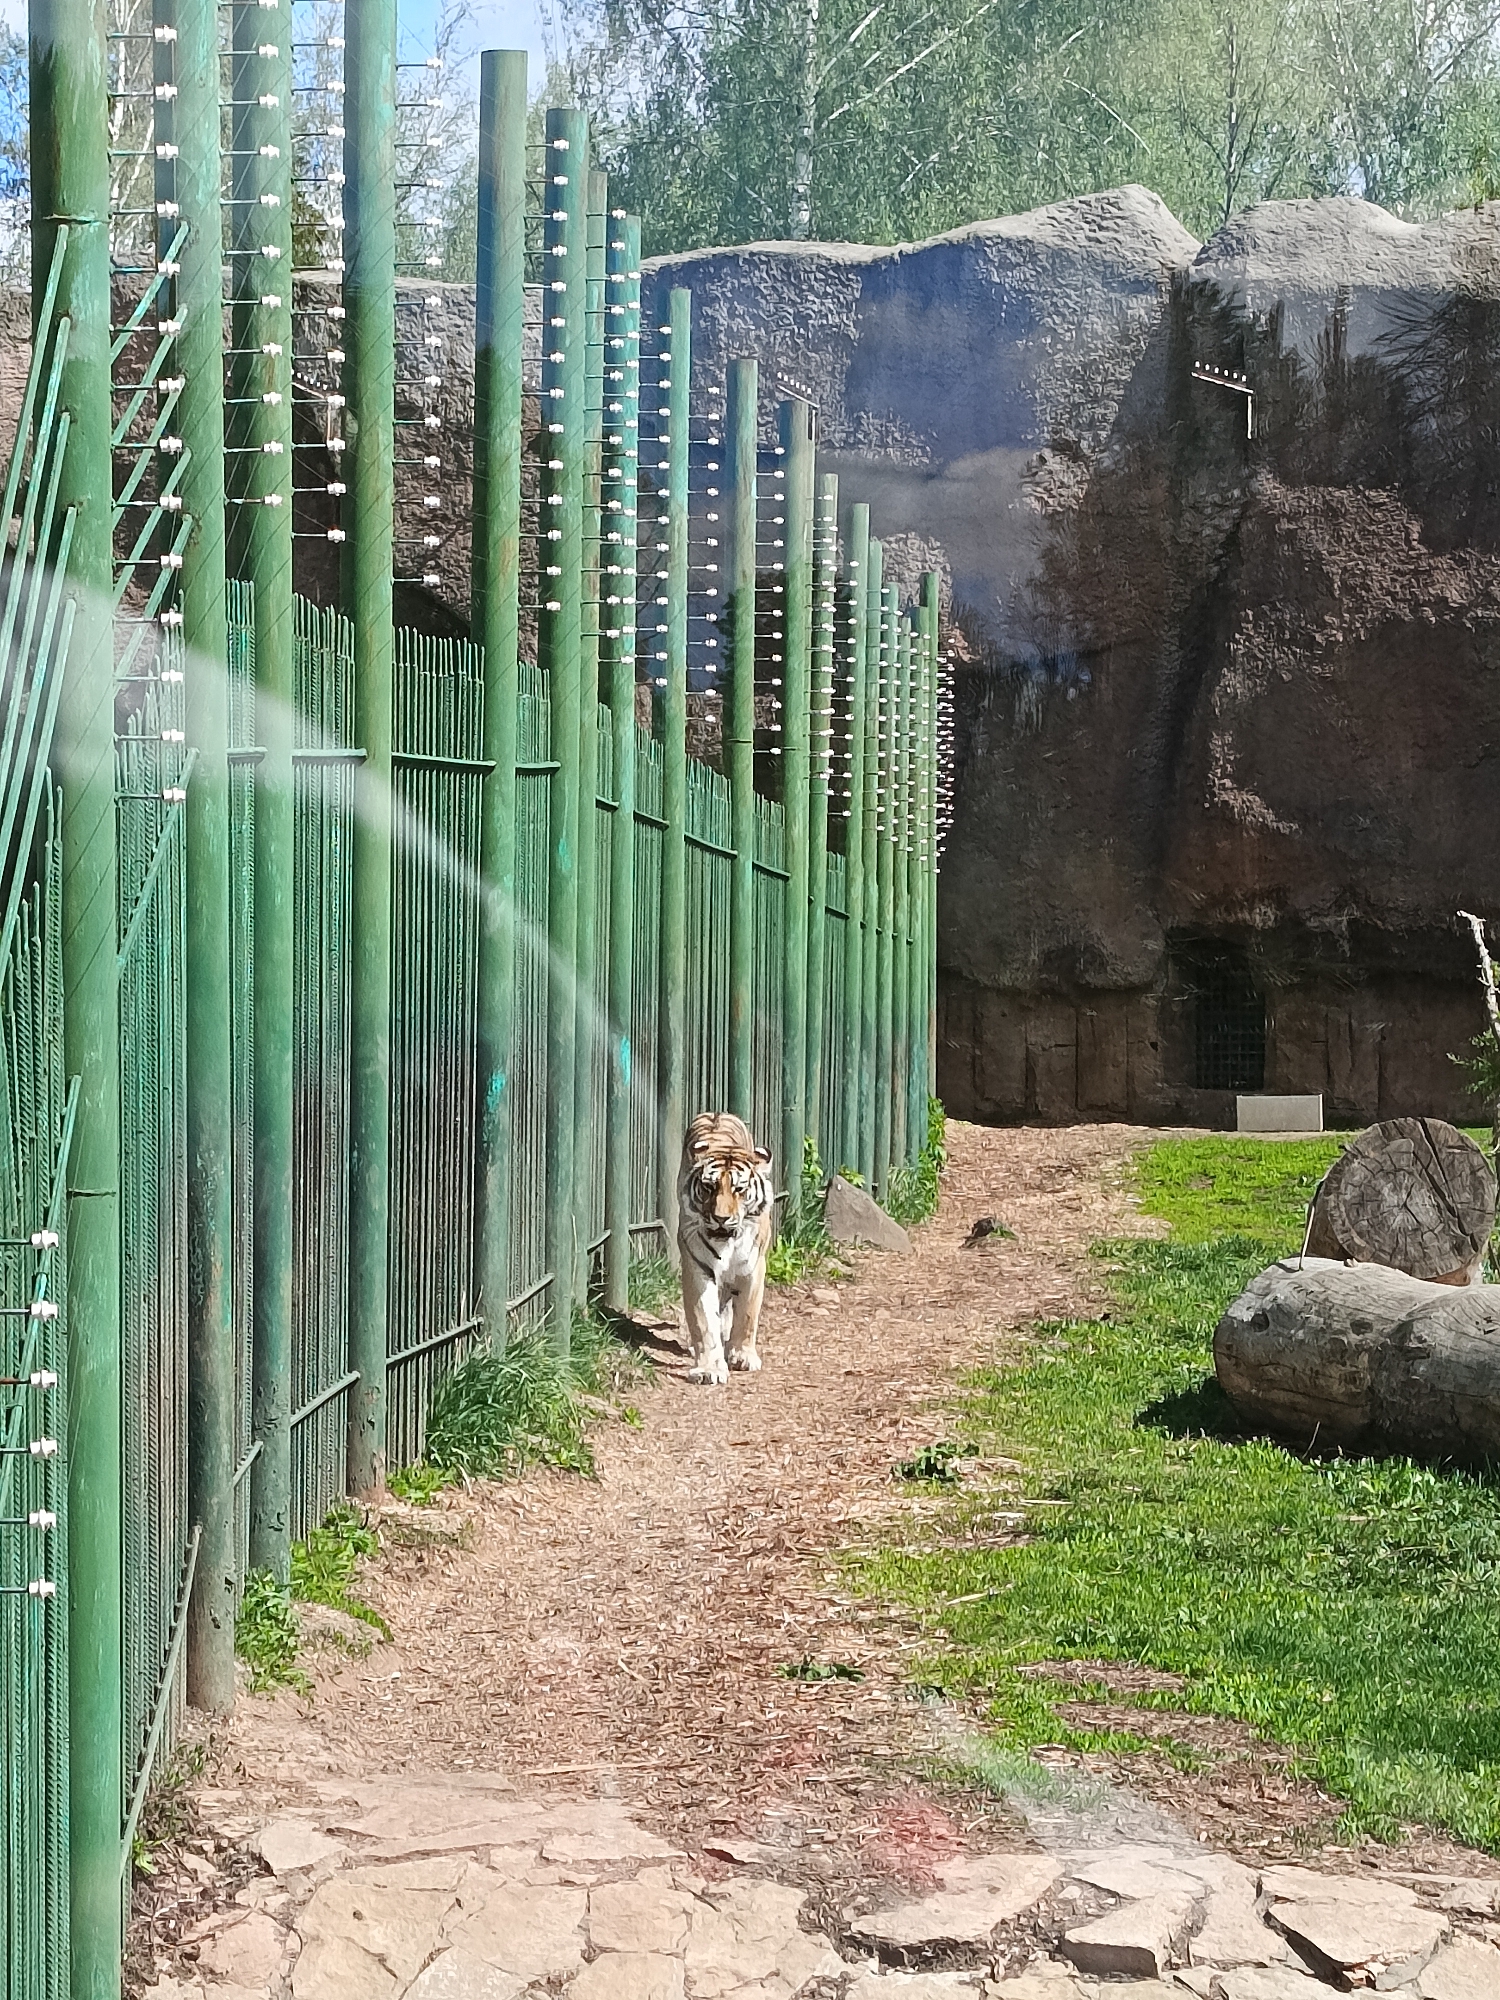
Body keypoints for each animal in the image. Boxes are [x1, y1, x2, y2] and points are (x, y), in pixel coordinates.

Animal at [676, 1111, 775, 1386]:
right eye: (709, 1187)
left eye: (739, 1189)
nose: (721, 1218)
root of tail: (717, 1113)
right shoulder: (697, 1268)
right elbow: (703, 1320)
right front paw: (709, 1368)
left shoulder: (753, 1268)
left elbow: (748, 1314)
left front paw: (742, 1356)